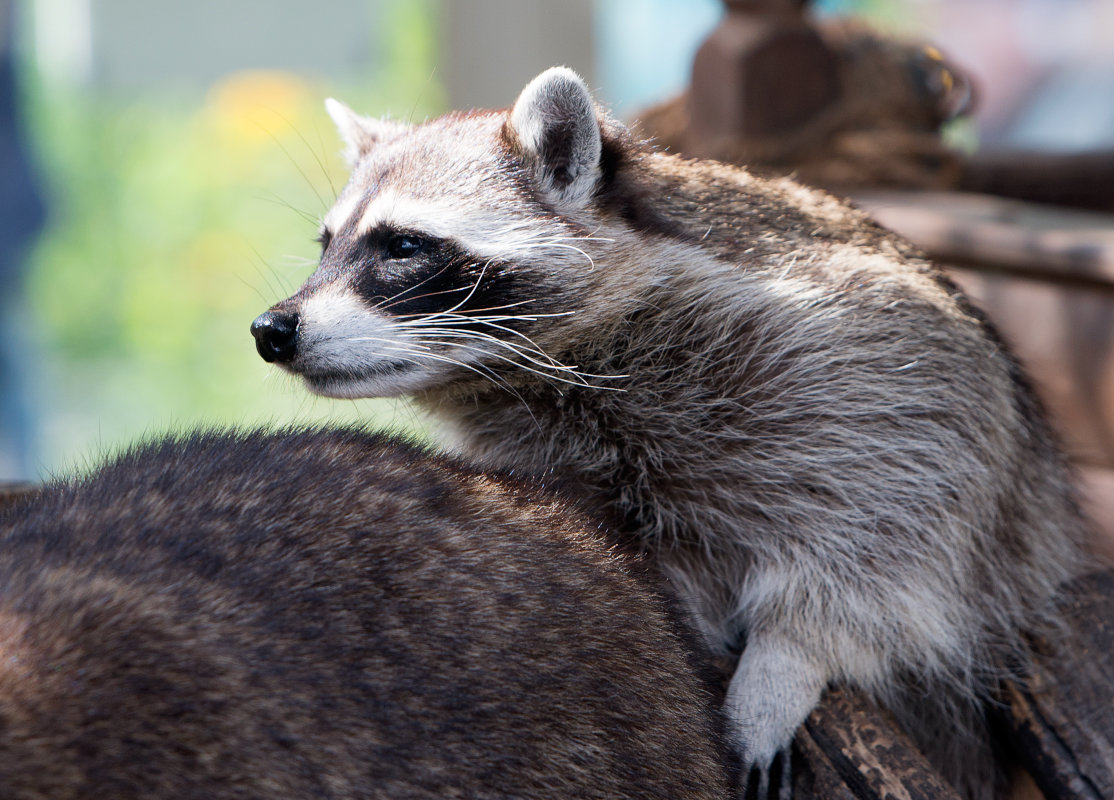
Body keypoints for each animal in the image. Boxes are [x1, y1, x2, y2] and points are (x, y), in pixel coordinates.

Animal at [250, 70, 1087, 800]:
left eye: (402, 246)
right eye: (328, 244)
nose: (272, 329)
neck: (554, 381)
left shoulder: (858, 349)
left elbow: (905, 498)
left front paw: (790, 655)